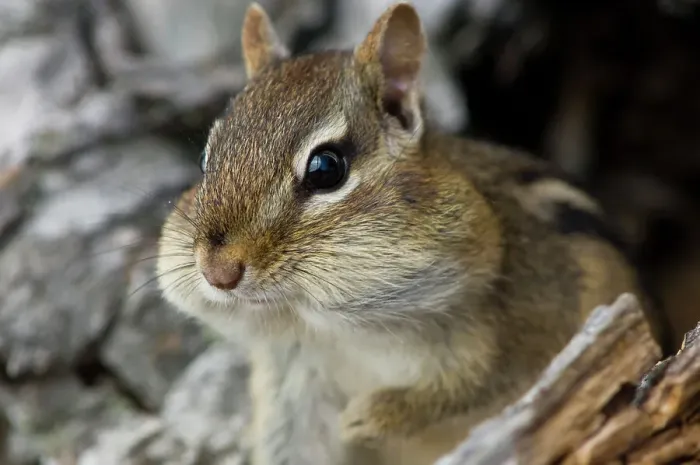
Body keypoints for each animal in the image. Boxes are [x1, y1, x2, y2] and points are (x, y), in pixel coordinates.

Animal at [156, 3, 668, 465]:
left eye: (326, 168)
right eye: (206, 159)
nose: (217, 272)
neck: (327, 328)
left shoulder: (507, 337)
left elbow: (466, 389)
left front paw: (367, 416)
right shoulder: (292, 386)